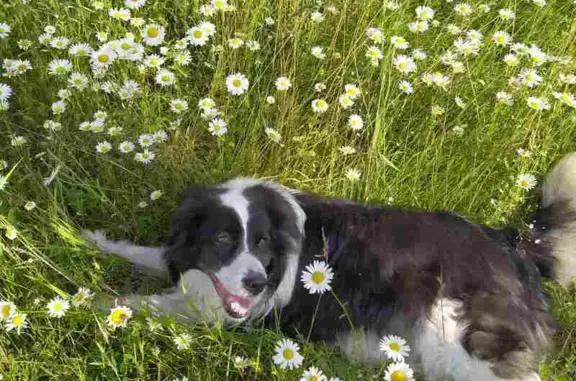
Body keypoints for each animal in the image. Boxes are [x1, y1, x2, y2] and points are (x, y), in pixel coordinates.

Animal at [82, 153, 576, 378]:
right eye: (223, 239)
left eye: (262, 242)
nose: (257, 283)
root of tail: (513, 243)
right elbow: (146, 254)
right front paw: (88, 238)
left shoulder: (212, 312)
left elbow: (137, 301)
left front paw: (89, 302)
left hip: (456, 337)